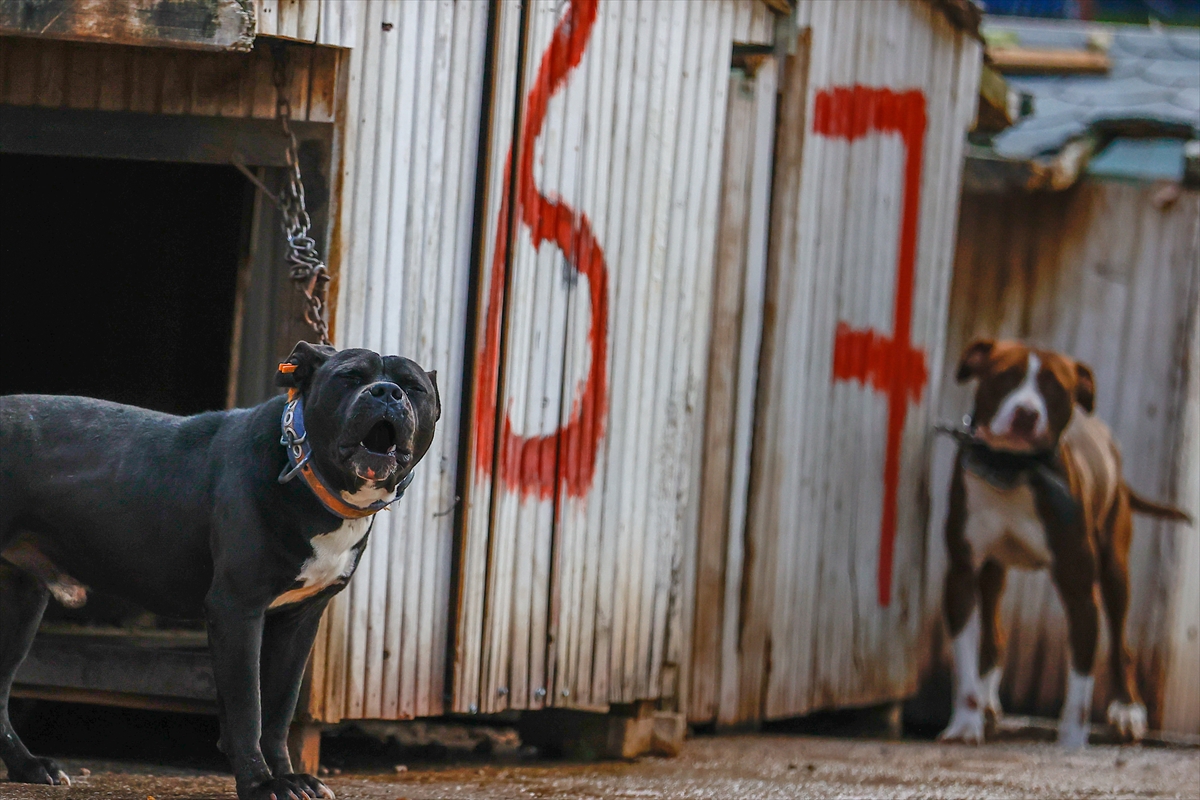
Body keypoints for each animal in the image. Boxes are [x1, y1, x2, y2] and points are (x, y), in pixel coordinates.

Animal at [0, 343, 441, 800]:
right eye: (350, 377)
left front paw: (289, 777)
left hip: (21, 605)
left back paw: (29, 766)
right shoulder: (237, 609)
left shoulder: (298, 621)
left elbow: (278, 710)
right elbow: (248, 707)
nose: (386, 392)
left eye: (413, 387)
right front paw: (262, 783)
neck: (304, 471)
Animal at [940, 340, 1185, 753]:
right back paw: (988, 703)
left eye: (1055, 387)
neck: (1013, 471)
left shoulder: (1080, 592)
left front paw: (1072, 742)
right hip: (993, 572)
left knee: (1121, 644)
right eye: (1004, 375)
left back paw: (1127, 709)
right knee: (994, 633)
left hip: (1114, 568)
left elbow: (1081, 688)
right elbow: (966, 663)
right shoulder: (960, 575)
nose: (1026, 413)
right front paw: (965, 724)